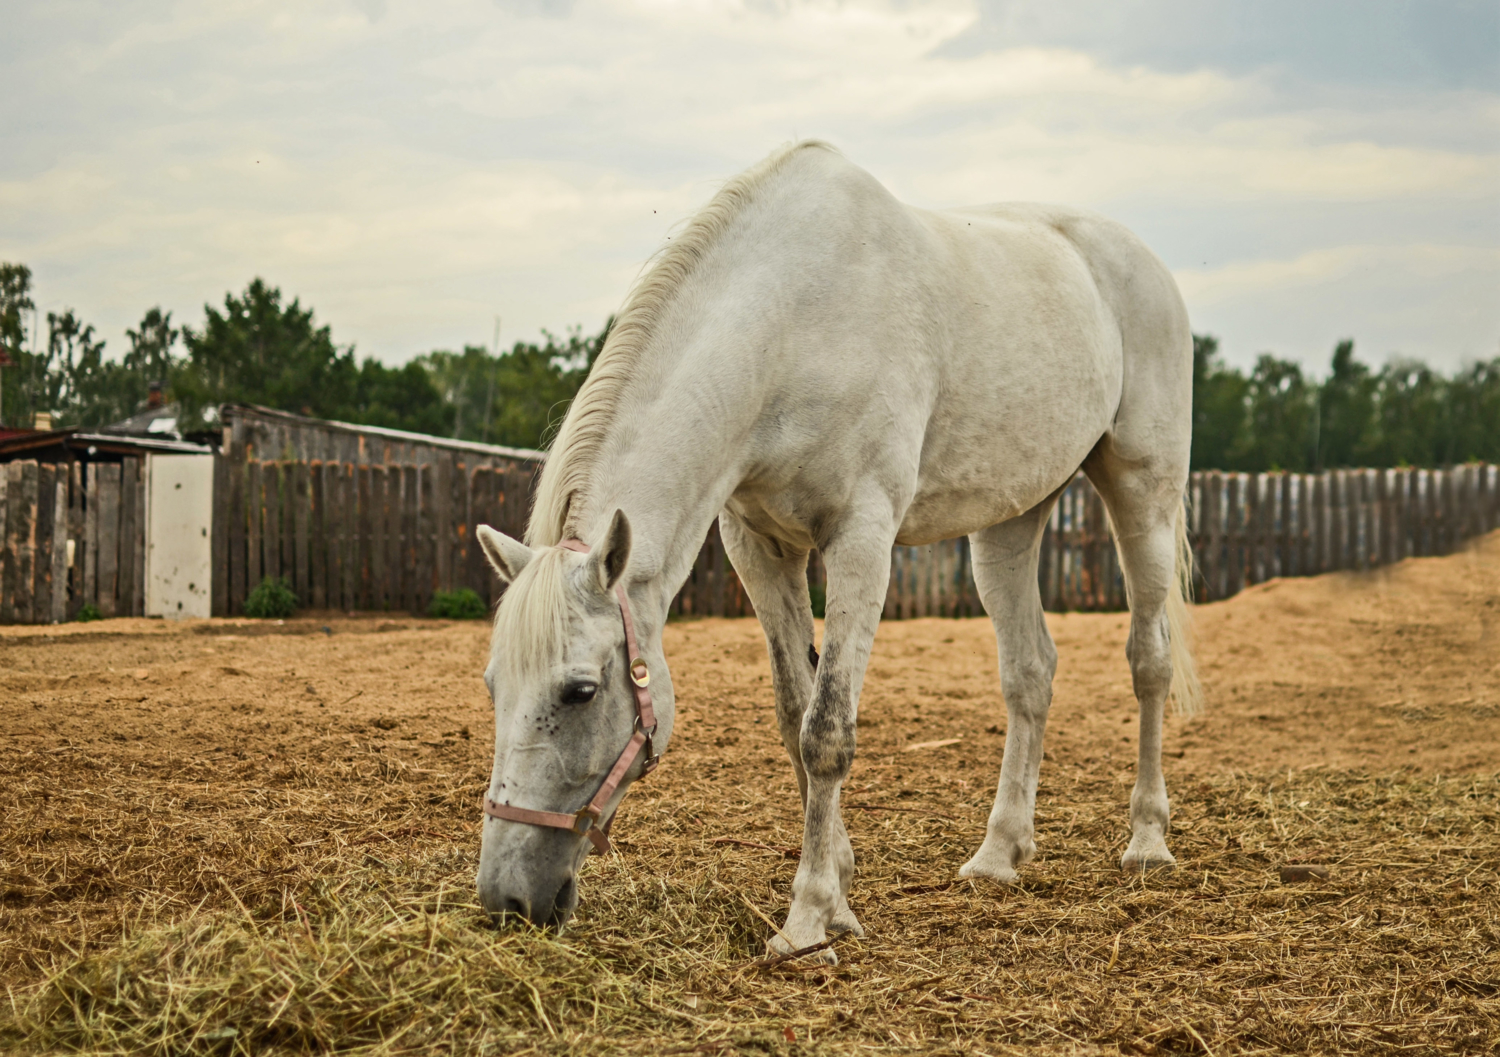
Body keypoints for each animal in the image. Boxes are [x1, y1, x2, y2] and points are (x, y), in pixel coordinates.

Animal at [474, 140, 1200, 959]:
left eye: (580, 692)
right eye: (494, 686)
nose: (506, 897)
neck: (789, 325)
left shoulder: (861, 537)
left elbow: (827, 731)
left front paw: (811, 915)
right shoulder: (759, 546)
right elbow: (795, 715)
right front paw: (842, 883)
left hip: (1144, 493)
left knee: (1149, 660)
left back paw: (1147, 839)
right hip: (1010, 522)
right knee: (1030, 674)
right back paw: (999, 853)